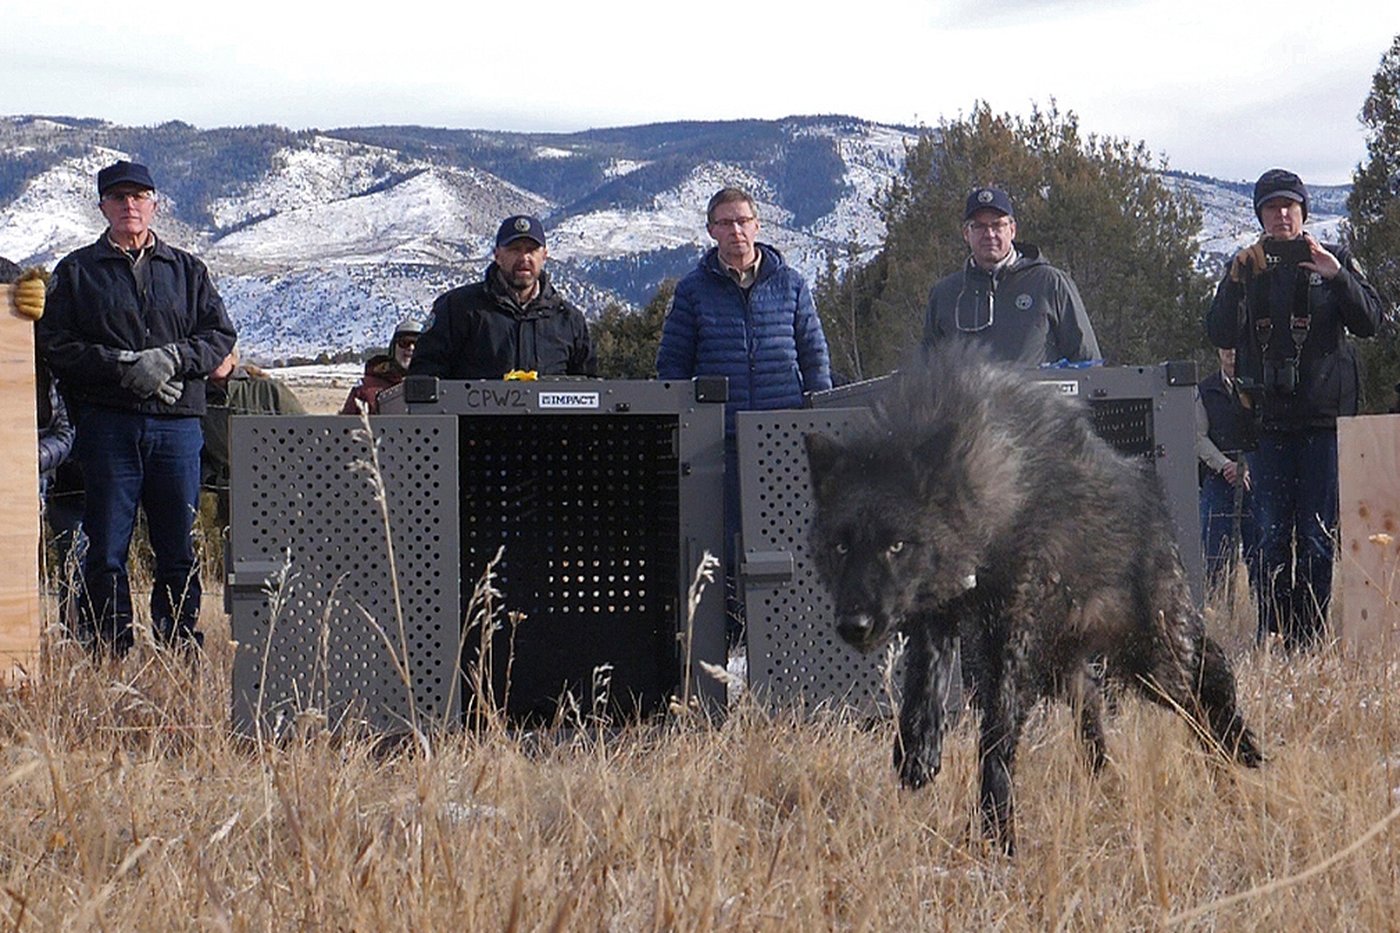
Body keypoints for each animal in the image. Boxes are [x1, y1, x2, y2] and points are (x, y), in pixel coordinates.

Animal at [804, 345, 1262, 854]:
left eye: (896, 545)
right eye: (841, 547)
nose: (855, 625)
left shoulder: (1012, 638)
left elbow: (997, 734)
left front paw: (997, 830)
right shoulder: (937, 617)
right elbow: (925, 686)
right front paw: (918, 751)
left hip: (1152, 661)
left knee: (1207, 685)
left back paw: (1236, 755)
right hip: (1072, 668)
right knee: (1095, 709)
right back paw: (1106, 782)